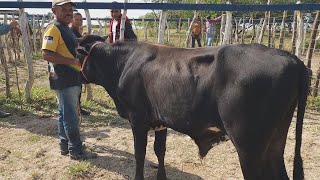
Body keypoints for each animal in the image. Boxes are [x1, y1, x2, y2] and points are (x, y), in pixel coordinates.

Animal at [76, 35, 308, 180]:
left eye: (78, 55)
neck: (123, 64)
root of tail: (293, 59)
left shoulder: (137, 119)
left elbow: (140, 154)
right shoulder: (160, 121)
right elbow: (160, 151)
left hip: (249, 147)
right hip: (275, 141)